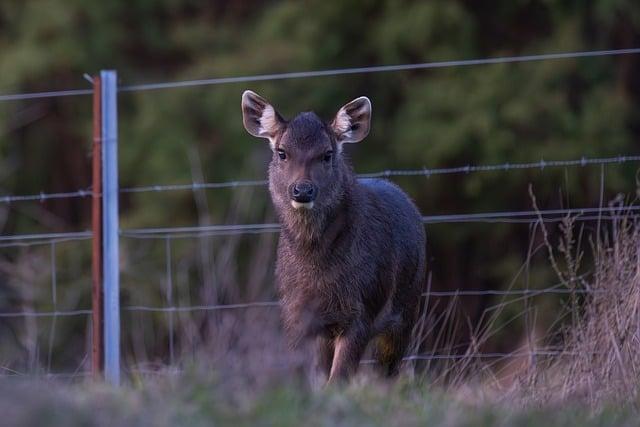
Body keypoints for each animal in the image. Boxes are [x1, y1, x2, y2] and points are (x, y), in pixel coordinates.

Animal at [240, 91, 424, 384]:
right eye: (282, 152)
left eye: (327, 154)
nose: (302, 190)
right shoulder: (294, 314)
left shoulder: (363, 309)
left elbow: (339, 378)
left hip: (407, 308)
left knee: (387, 371)